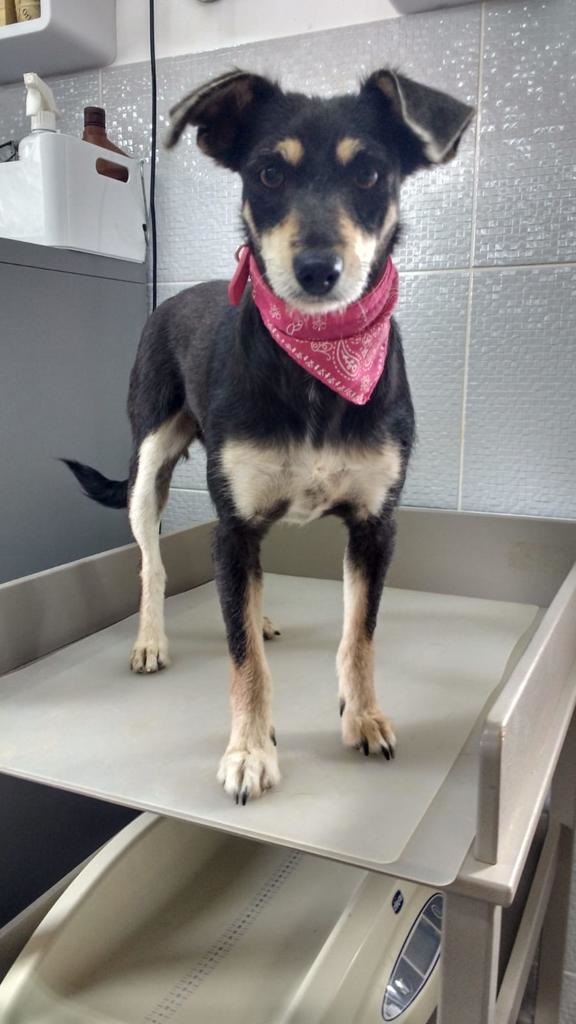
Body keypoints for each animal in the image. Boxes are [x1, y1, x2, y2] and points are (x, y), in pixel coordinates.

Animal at [65, 68, 473, 804]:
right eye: (267, 174)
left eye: (370, 173)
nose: (316, 270)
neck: (317, 358)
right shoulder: (232, 528)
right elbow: (242, 659)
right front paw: (250, 750)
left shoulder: (375, 526)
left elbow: (359, 634)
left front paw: (362, 715)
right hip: (148, 464)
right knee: (152, 562)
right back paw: (150, 639)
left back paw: (258, 616)